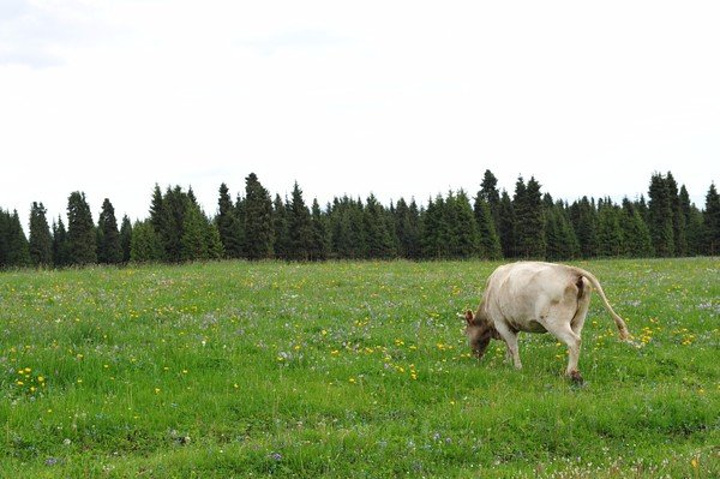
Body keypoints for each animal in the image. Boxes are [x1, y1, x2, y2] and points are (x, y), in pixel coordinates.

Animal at [466, 260, 632, 384]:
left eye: (466, 333)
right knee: (578, 339)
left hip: (555, 321)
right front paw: (507, 363)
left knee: (574, 341)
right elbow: (508, 346)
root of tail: (571, 270)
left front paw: (517, 367)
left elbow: (513, 346)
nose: (475, 356)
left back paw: (571, 374)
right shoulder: (511, 325)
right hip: (578, 319)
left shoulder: (500, 322)